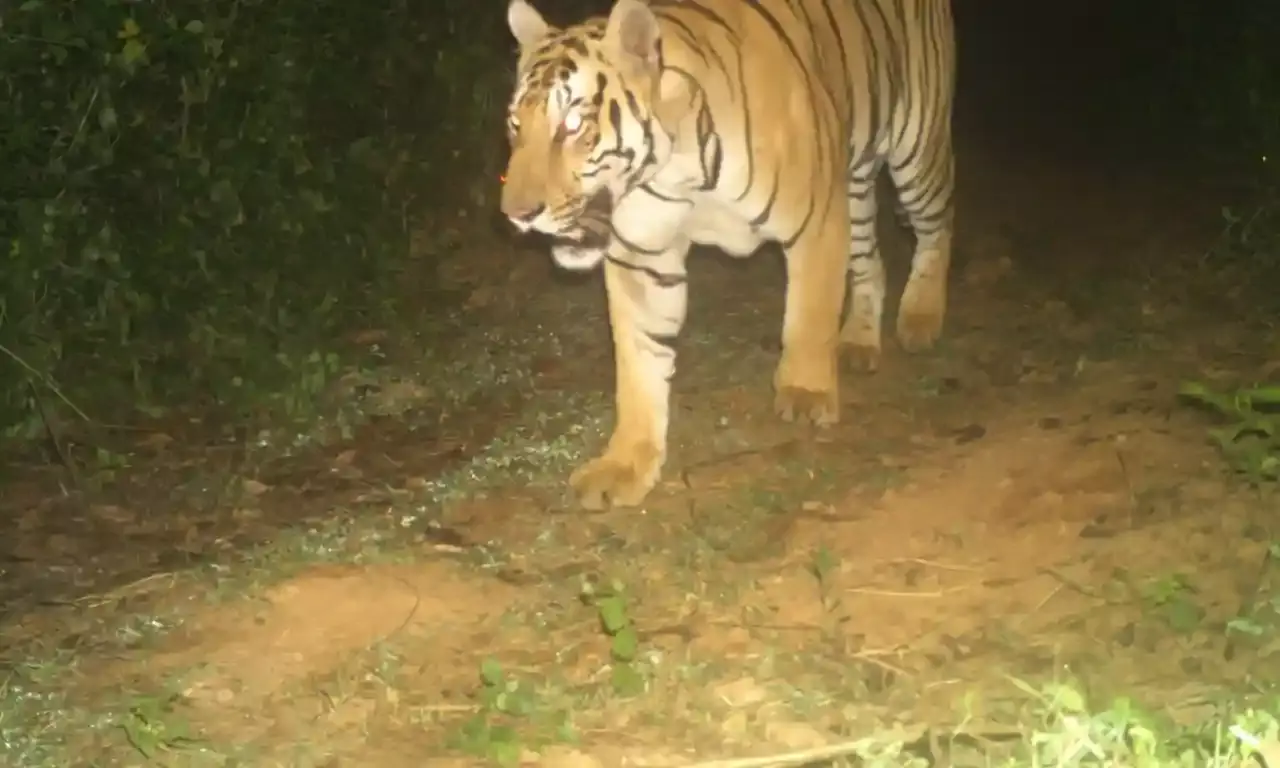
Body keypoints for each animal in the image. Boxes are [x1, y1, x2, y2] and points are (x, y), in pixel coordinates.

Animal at [500, 0, 956, 510]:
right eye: (515, 125)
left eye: (573, 125)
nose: (516, 215)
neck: (672, 169)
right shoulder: (643, 258)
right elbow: (639, 367)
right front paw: (626, 463)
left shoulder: (816, 216)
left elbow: (809, 315)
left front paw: (805, 393)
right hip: (855, 185)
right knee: (870, 263)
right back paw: (859, 342)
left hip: (915, 150)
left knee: (938, 225)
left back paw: (920, 318)